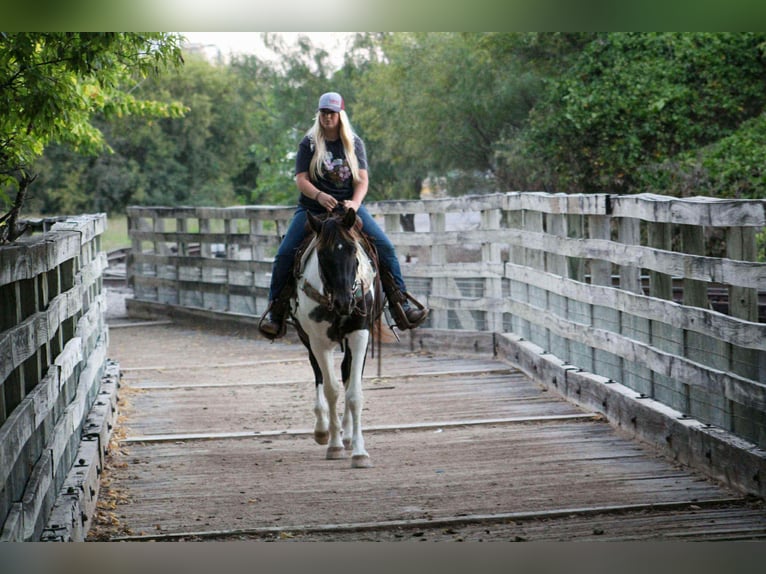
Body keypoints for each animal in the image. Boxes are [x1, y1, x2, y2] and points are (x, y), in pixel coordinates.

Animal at [290, 207, 380, 469]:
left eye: (352, 250)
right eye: (322, 254)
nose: (344, 302)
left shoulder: (360, 334)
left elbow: (354, 393)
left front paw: (359, 452)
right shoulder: (319, 341)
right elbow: (331, 389)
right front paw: (334, 445)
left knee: (347, 373)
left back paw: (348, 435)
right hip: (306, 338)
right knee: (319, 375)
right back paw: (323, 430)